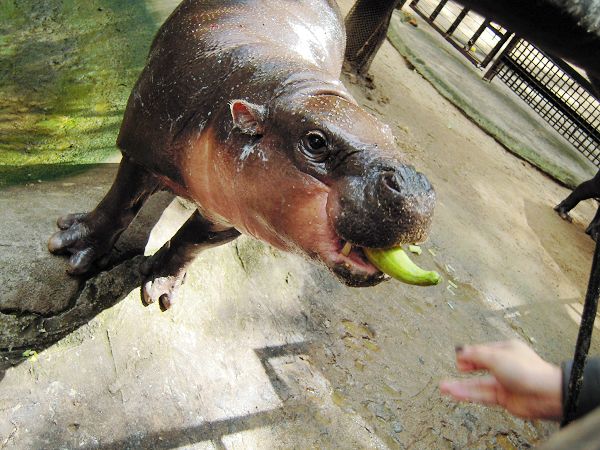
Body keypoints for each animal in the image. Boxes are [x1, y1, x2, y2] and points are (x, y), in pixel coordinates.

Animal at [45, 0, 432, 310]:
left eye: (389, 134)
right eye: (316, 142)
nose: (414, 185)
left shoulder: (233, 214)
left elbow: (192, 243)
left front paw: (159, 283)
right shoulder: (140, 148)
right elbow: (119, 204)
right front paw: (71, 247)